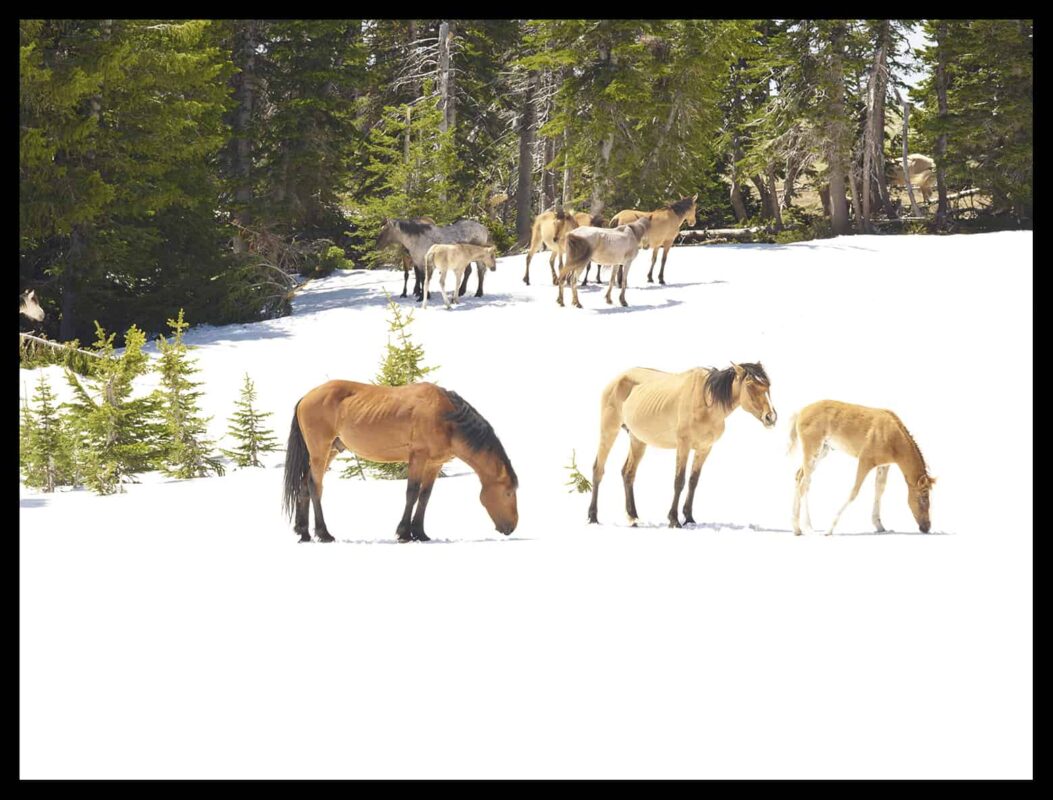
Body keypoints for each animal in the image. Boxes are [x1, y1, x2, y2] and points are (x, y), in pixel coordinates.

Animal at [589, 364, 779, 528]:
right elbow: (679, 481)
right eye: (750, 384)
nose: (771, 417)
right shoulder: (683, 445)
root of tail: (616, 379)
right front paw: (673, 519)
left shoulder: (704, 448)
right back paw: (593, 517)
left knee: (628, 473)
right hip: (609, 431)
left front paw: (689, 518)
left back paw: (632, 517)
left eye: (768, 385)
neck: (706, 400)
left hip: (638, 440)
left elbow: (693, 481)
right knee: (598, 469)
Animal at [791, 397, 939, 534]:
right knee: (805, 484)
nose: (927, 527)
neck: (891, 436)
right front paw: (830, 529)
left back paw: (797, 529)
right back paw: (808, 527)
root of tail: (800, 412)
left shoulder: (884, 465)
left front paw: (880, 526)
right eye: (924, 497)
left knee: (799, 477)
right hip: (812, 449)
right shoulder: (865, 461)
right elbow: (854, 492)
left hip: (822, 451)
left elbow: (879, 490)